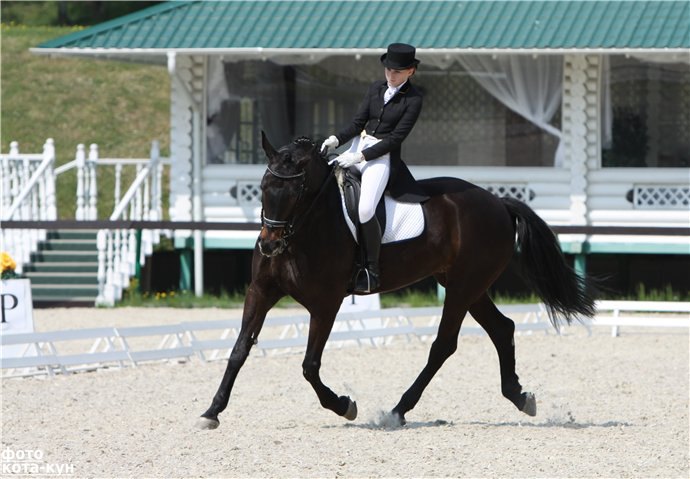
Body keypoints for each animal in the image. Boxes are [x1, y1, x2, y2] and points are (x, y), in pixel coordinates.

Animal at [195, 132, 596, 432]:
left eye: (295, 193)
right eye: (263, 186)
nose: (269, 245)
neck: (307, 226)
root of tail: (498, 202)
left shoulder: (326, 303)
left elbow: (310, 365)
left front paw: (344, 405)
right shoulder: (261, 291)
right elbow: (238, 351)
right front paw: (211, 412)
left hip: (463, 287)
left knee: (444, 345)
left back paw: (398, 410)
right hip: (468, 285)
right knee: (503, 328)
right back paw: (520, 396)